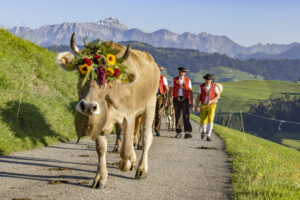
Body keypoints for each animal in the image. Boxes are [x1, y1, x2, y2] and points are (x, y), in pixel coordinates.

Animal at [56, 33, 159, 189]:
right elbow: (101, 148)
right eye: (82, 72)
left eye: (108, 76)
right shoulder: (99, 118)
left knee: (146, 137)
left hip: (150, 104)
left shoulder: (129, 116)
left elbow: (125, 149)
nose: (88, 106)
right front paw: (101, 177)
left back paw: (141, 168)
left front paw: (126, 164)